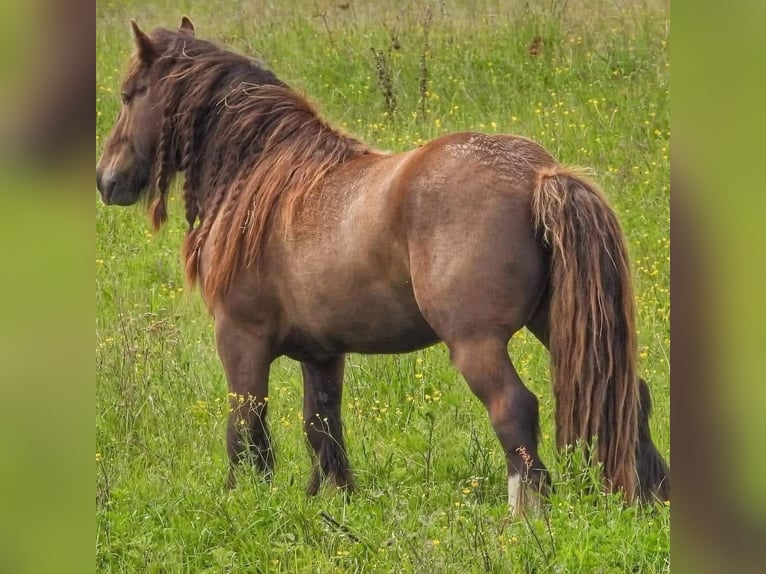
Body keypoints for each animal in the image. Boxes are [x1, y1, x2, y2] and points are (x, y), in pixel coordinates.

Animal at [96, 18, 672, 516]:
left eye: (128, 95)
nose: (107, 180)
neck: (262, 178)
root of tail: (539, 175)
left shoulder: (240, 340)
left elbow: (245, 428)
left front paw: (243, 503)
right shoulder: (321, 355)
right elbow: (321, 427)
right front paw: (336, 503)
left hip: (477, 343)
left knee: (514, 408)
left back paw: (525, 518)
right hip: (555, 323)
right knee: (630, 394)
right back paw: (647, 497)